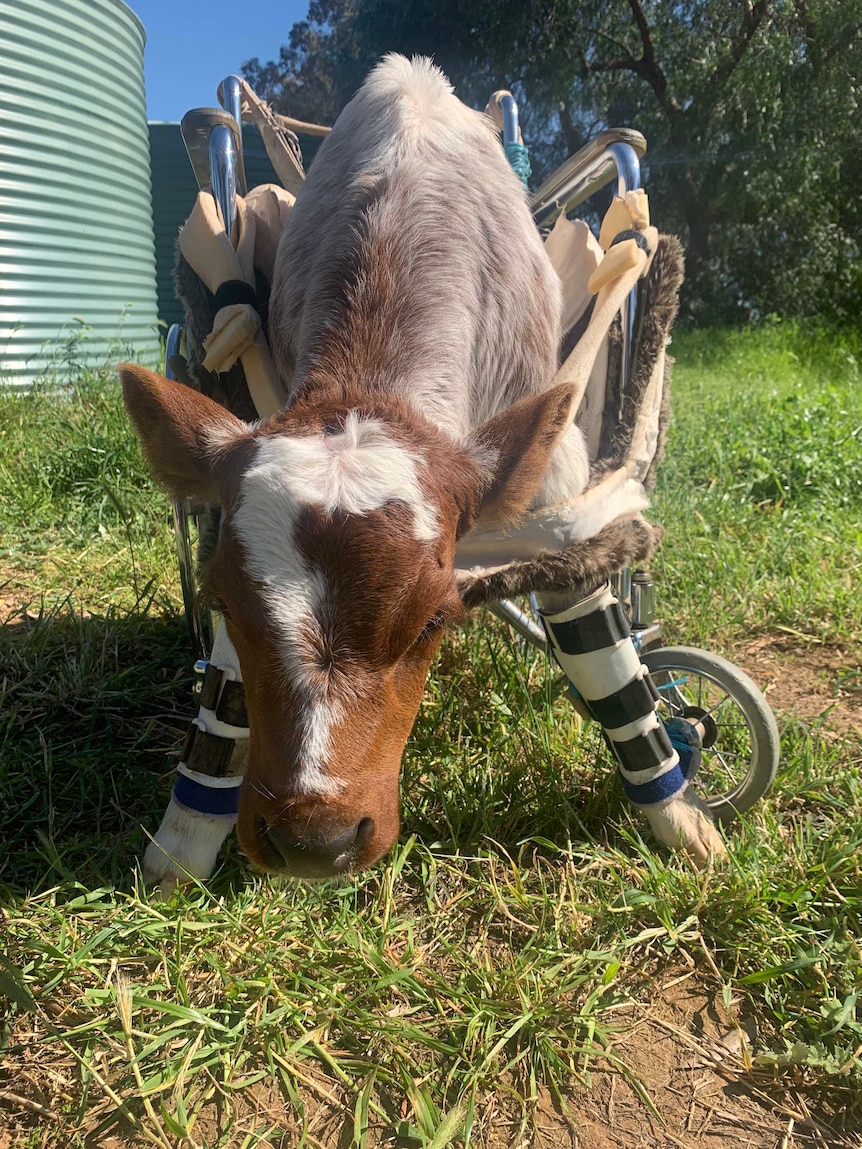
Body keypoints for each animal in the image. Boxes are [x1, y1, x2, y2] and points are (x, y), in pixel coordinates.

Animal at [121, 54, 721, 887]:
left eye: (434, 618)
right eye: (224, 602)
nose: (315, 840)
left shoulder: (563, 506)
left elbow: (611, 669)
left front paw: (682, 818)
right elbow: (223, 693)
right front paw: (179, 847)